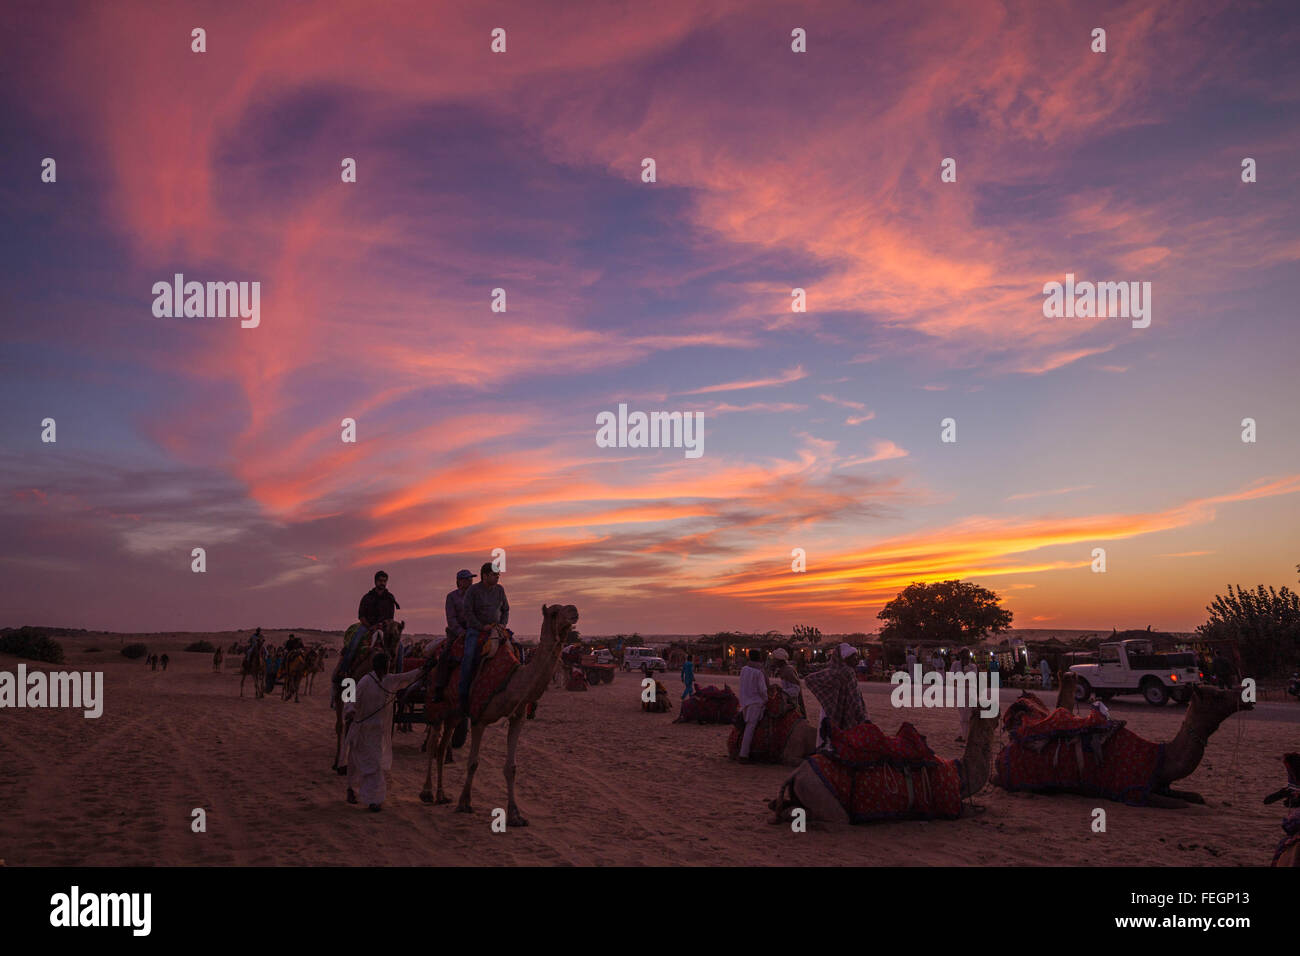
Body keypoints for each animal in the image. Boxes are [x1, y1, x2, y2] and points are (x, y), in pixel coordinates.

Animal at [330, 624, 400, 775]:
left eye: (399, 637)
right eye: (390, 635)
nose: (392, 656)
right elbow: (344, 725)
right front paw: (341, 764)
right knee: (342, 725)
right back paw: (338, 762)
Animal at [421, 600, 579, 827]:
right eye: (555, 612)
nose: (574, 611)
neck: (510, 681)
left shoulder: (517, 719)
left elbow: (511, 767)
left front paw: (515, 814)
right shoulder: (479, 718)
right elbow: (473, 762)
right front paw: (464, 803)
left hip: (454, 712)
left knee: (442, 746)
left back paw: (441, 795)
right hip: (436, 705)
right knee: (433, 743)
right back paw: (426, 793)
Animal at [764, 712, 998, 827]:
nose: (999, 718)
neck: (960, 773)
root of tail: (797, 773)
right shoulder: (947, 806)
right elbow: (974, 811)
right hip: (824, 797)